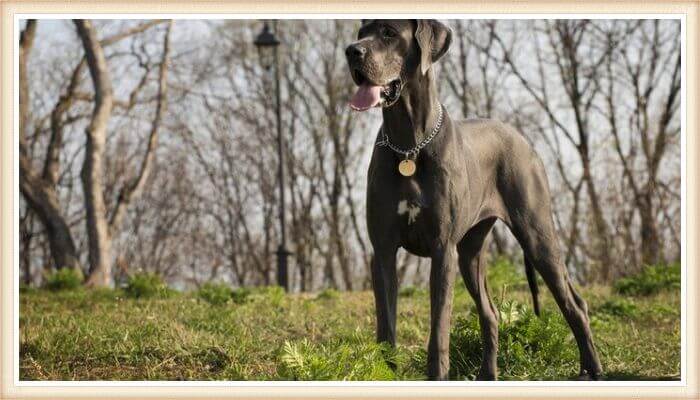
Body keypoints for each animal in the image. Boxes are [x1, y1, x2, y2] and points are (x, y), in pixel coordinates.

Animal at [344, 19, 600, 382]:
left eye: (389, 33)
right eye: (362, 32)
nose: (352, 51)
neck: (408, 145)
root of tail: (523, 139)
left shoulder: (442, 249)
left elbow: (439, 326)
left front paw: (437, 375)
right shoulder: (382, 250)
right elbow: (386, 325)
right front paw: (386, 372)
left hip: (537, 235)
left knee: (575, 304)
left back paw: (593, 369)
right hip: (470, 253)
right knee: (490, 313)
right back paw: (488, 375)